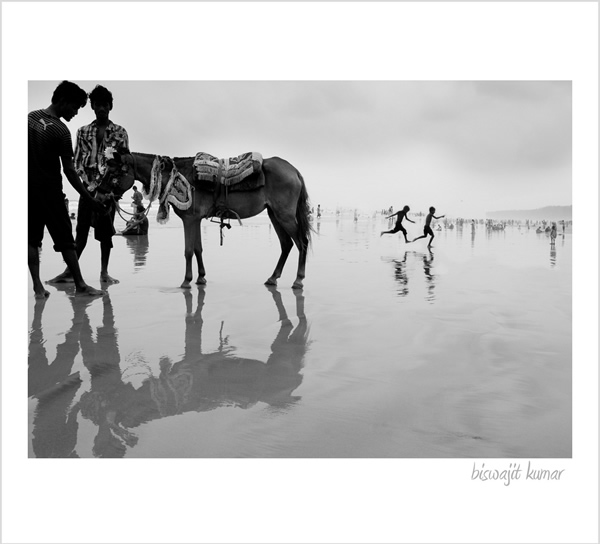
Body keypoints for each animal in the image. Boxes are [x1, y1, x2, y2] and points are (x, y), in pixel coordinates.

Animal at [106, 151, 314, 288]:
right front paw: (201, 278)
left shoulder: (189, 219)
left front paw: (187, 280)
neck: (178, 176)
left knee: (301, 242)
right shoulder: (196, 220)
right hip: (275, 215)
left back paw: (298, 279)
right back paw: (273, 278)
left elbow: (188, 250)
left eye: (114, 173)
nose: (104, 194)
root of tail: (294, 171)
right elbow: (198, 248)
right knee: (287, 244)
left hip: (285, 215)